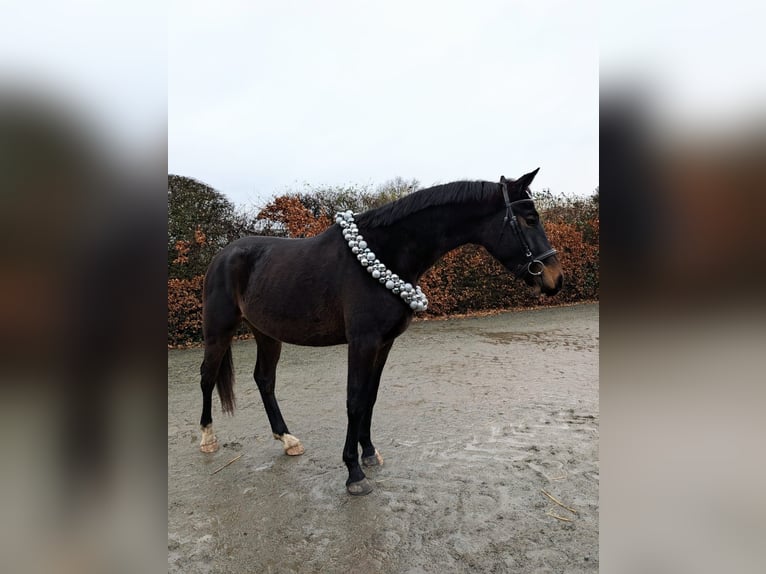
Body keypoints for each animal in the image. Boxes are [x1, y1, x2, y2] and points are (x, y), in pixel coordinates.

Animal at [198, 168, 563, 495]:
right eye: (530, 219)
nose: (555, 279)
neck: (384, 253)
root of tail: (222, 255)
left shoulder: (384, 344)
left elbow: (370, 398)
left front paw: (370, 453)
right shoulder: (362, 342)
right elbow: (354, 399)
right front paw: (353, 473)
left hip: (267, 333)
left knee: (264, 380)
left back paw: (287, 439)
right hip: (218, 331)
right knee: (207, 376)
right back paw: (207, 438)